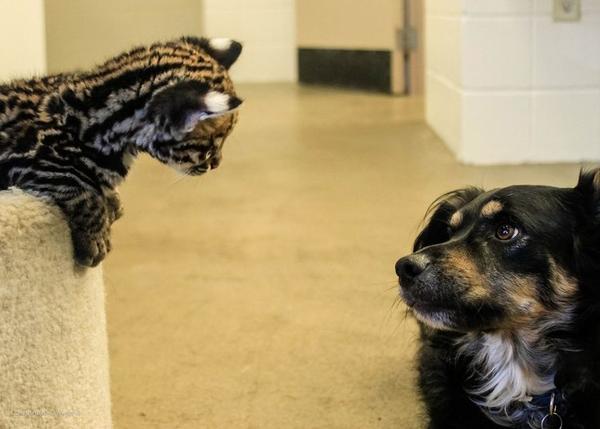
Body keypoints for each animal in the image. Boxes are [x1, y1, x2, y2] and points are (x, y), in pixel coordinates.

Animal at [1, 36, 244, 264]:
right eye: (212, 146)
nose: (217, 164)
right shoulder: (36, 158)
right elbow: (81, 188)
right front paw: (97, 237)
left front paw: (111, 200)